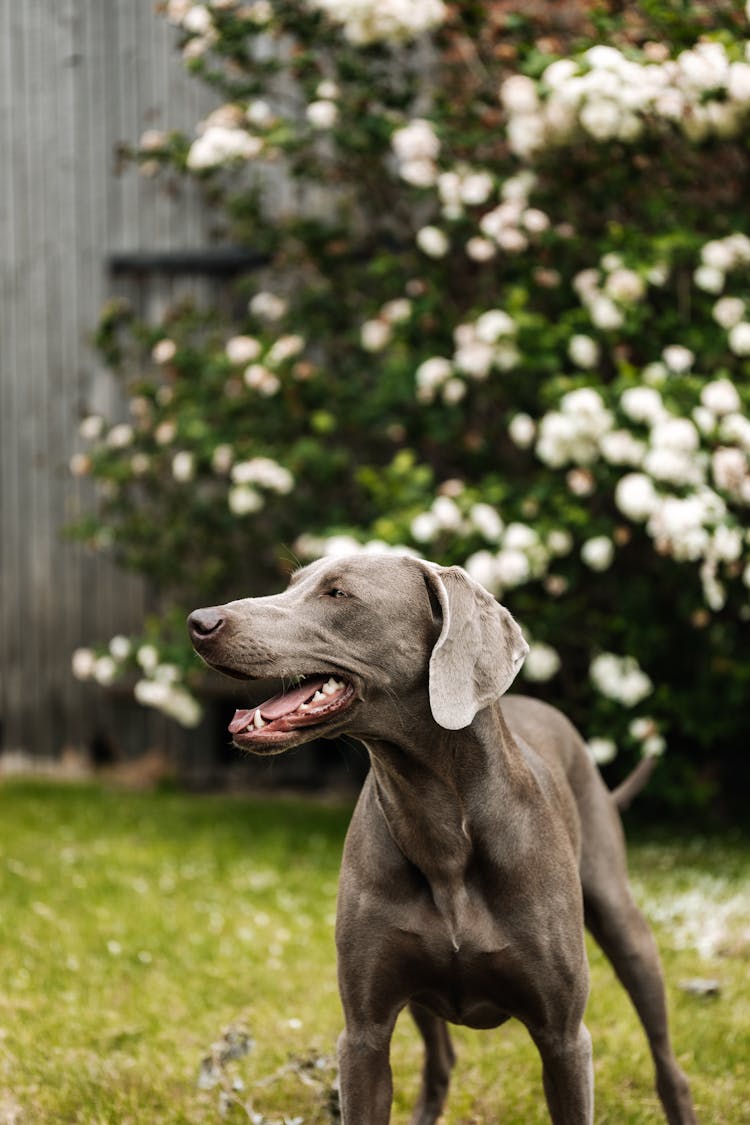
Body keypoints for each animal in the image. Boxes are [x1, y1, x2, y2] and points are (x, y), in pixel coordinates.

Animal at [188, 553, 697, 1125]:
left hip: (621, 920)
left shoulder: (564, 1038)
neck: (442, 832)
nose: (200, 621)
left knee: (666, 1058)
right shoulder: (363, 1034)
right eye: (292, 583)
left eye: (338, 593)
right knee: (441, 1062)